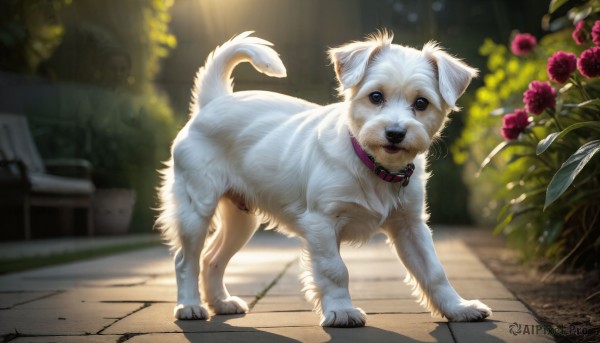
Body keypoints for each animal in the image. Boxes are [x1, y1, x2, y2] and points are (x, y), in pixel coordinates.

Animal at [157, 30, 490, 328]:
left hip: (242, 219)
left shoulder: (410, 226)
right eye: (376, 97)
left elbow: (434, 271)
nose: (395, 133)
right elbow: (334, 270)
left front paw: (458, 308)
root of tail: (213, 102)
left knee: (211, 258)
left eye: (421, 103)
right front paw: (341, 311)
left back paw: (221, 301)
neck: (372, 166)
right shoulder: (321, 223)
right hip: (195, 209)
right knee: (185, 260)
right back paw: (190, 305)